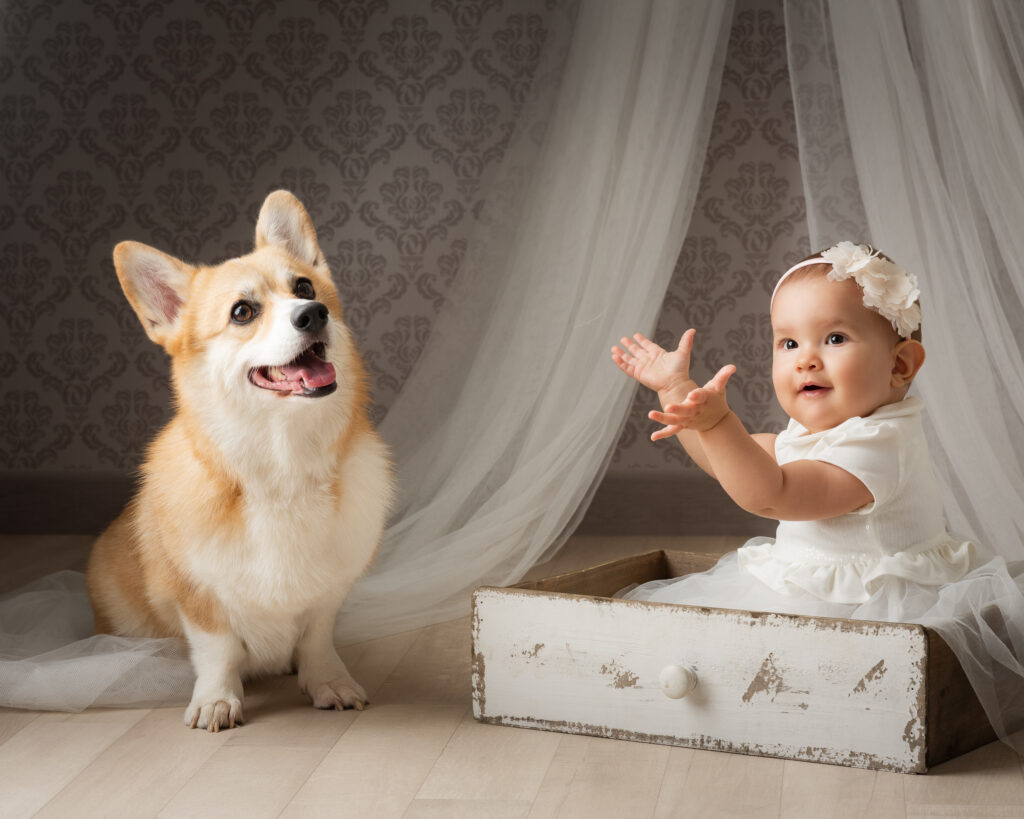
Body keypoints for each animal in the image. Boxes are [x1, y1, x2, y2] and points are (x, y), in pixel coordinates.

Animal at [86, 190, 391, 728]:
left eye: (304, 286)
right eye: (243, 312)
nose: (313, 313)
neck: (284, 458)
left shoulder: (330, 589)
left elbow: (317, 639)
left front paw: (327, 681)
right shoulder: (198, 596)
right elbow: (218, 651)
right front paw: (216, 700)